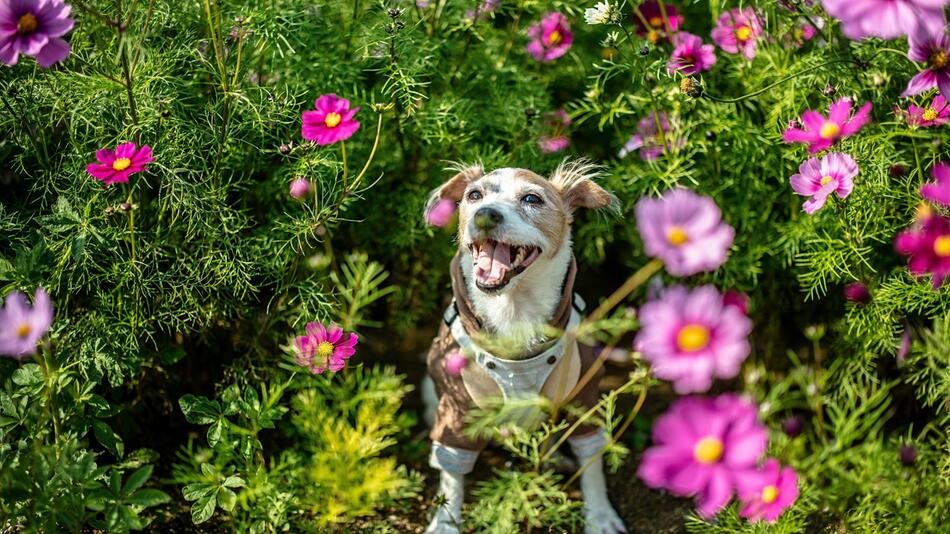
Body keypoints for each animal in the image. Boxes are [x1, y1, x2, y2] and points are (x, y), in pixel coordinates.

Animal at [422, 161, 624, 532]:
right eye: (474, 195)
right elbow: (451, 477)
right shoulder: (456, 413)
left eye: (532, 198)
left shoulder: (584, 398)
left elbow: (592, 462)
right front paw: (445, 523)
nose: (485, 214)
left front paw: (601, 516)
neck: (513, 312)